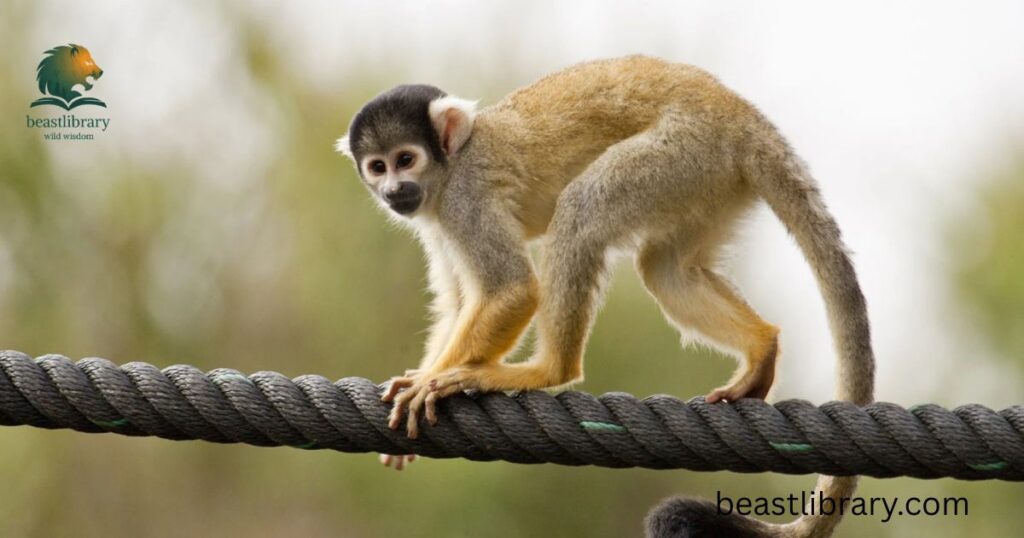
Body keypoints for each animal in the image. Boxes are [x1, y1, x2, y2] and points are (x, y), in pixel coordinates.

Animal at [336, 55, 874, 536]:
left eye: (406, 160)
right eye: (378, 166)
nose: (394, 190)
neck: (448, 169)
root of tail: (741, 116)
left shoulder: (464, 198)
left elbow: (512, 288)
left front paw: (431, 382)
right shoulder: (434, 219)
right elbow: (456, 303)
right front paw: (420, 382)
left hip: (682, 152)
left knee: (582, 212)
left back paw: (548, 369)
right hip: (711, 180)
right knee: (664, 268)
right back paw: (762, 347)